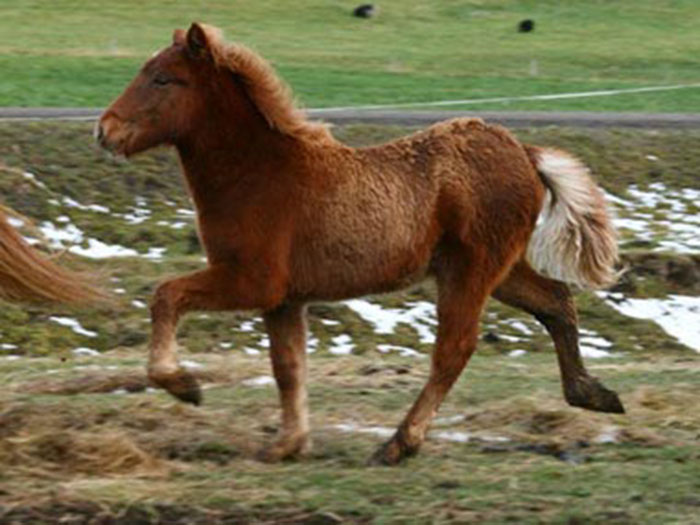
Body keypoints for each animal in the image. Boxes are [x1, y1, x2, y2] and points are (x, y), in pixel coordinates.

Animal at [97, 23, 623, 465]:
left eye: (163, 79)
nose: (105, 130)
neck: (258, 173)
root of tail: (524, 153)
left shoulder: (252, 281)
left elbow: (166, 295)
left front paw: (183, 385)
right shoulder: (284, 300)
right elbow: (288, 366)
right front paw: (288, 444)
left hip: (470, 271)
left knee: (454, 348)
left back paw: (399, 443)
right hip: (502, 269)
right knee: (556, 303)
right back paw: (593, 394)